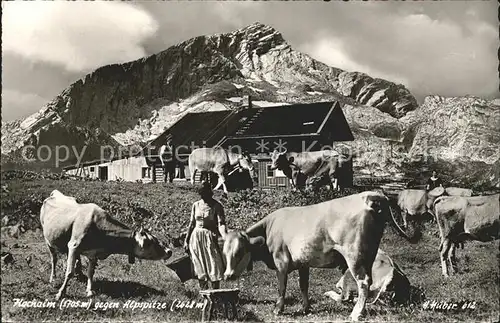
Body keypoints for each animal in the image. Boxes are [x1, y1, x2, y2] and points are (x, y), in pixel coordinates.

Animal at [39, 191, 172, 300]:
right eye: (151, 242)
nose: (169, 251)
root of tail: (55, 194)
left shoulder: (93, 253)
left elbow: (90, 272)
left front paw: (89, 290)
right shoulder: (74, 245)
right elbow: (69, 272)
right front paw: (60, 293)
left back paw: (79, 275)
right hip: (48, 240)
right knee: (54, 259)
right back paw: (52, 278)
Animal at [221, 191, 412, 322]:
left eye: (239, 252)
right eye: (224, 252)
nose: (227, 276)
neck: (270, 228)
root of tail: (369, 195)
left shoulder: (281, 262)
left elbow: (281, 287)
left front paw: (278, 309)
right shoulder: (303, 263)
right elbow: (303, 286)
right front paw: (306, 308)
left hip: (354, 257)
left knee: (363, 283)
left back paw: (356, 313)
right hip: (369, 256)